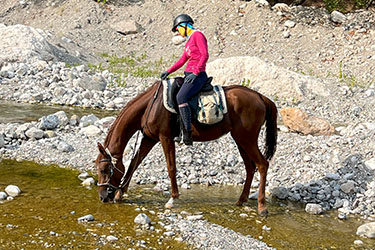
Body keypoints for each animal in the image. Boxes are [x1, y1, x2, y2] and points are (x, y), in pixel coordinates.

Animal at [95, 79, 278, 216]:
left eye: (104, 169)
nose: (102, 197)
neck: (151, 105)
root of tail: (260, 97)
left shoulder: (165, 138)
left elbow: (171, 167)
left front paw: (172, 199)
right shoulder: (149, 138)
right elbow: (134, 163)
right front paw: (120, 193)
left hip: (247, 139)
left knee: (262, 164)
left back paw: (262, 207)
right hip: (240, 140)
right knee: (250, 167)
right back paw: (241, 200)